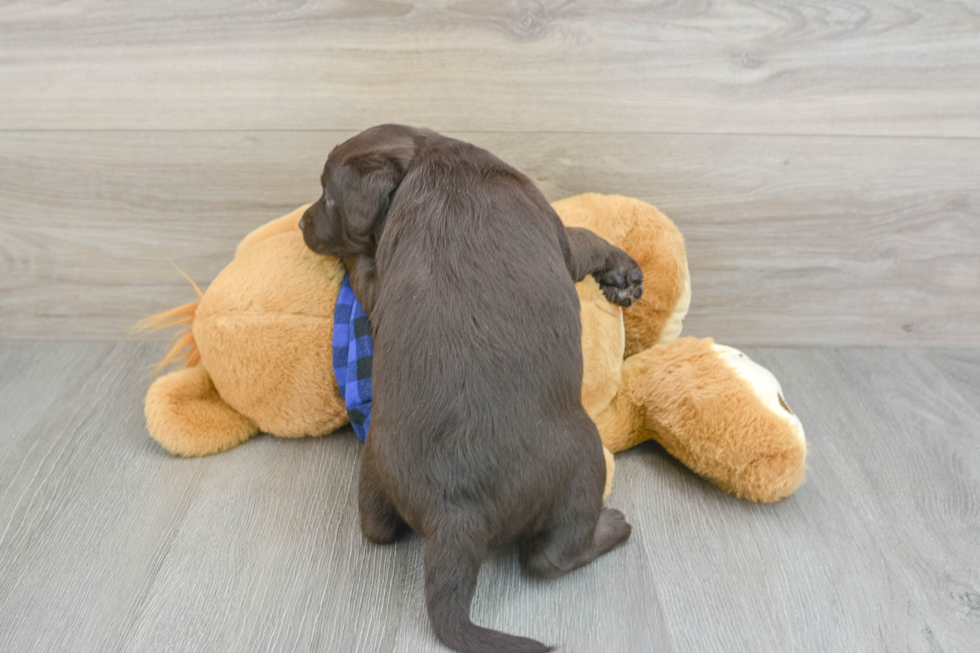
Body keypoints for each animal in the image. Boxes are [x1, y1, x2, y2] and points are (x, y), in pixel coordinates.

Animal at [302, 126, 648, 652]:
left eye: (326, 196)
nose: (300, 223)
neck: (433, 162)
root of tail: (455, 515)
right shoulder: (561, 238)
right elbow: (586, 237)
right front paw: (623, 269)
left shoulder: (380, 285)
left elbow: (365, 272)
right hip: (584, 458)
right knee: (548, 558)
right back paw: (611, 527)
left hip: (374, 474)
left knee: (376, 530)